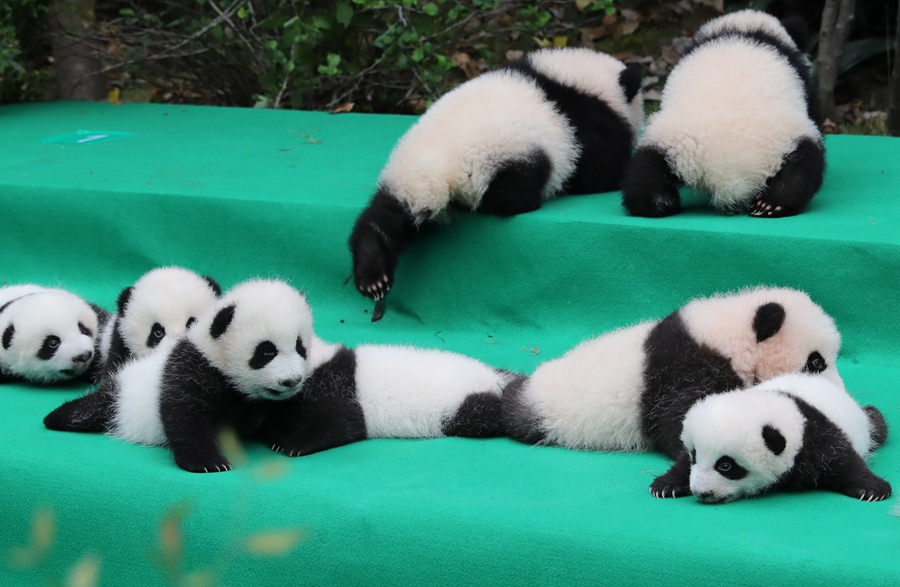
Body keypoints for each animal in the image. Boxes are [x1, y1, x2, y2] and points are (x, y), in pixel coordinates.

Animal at [349, 47, 644, 318]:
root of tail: (439, 170)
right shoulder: (586, 126)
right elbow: (599, 168)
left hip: (405, 179)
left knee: (384, 217)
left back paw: (371, 272)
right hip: (501, 154)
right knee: (514, 191)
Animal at [621, 10, 824, 218]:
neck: (742, 28)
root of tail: (727, 173)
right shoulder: (803, 77)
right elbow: (815, 110)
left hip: (670, 142)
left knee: (646, 171)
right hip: (783, 136)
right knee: (805, 166)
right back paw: (772, 204)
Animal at [650, 373, 891, 503]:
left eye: (726, 466)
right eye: (695, 456)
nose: (701, 493)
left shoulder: (816, 438)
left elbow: (844, 461)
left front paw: (872, 489)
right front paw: (666, 485)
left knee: (876, 425)